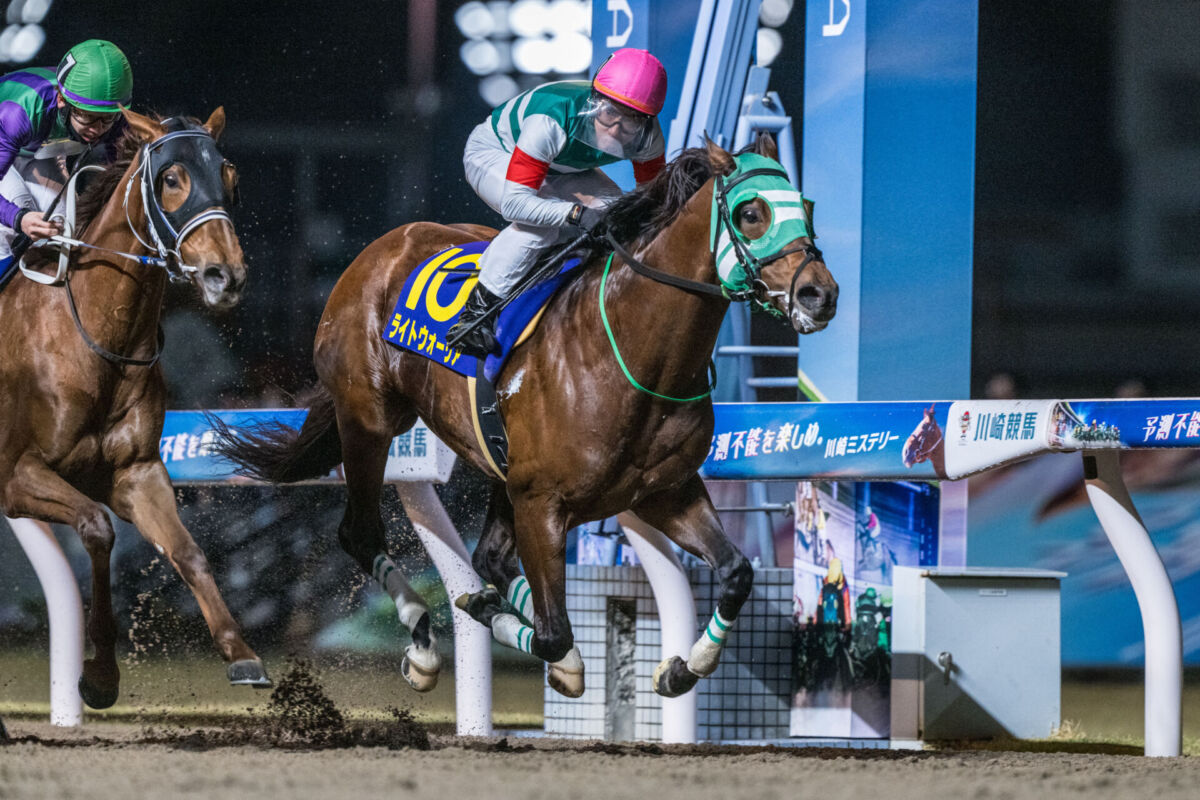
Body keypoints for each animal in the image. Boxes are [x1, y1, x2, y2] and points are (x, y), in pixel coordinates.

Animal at [0, 107, 269, 709]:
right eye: (171, 179)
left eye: (231, 175)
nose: (226, 276)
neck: (96, 339)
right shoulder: (14, 474)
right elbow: (98, 529)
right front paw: (100, 673)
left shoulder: (135, 472)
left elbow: (187, 552)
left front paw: (241, 654)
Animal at [213, 134, 837, 699]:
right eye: (750, 212)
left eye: (807, 207)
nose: (819, 294)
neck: (631, 354)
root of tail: (381, 248)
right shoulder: (542, 502)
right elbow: (556, 633)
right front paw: (517, 634)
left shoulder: (664, 490)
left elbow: (736, 573)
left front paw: (683, 666)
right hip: (368, 420)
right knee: (361, 532)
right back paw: (424, 646)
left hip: (497, 464)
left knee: (487, 555)